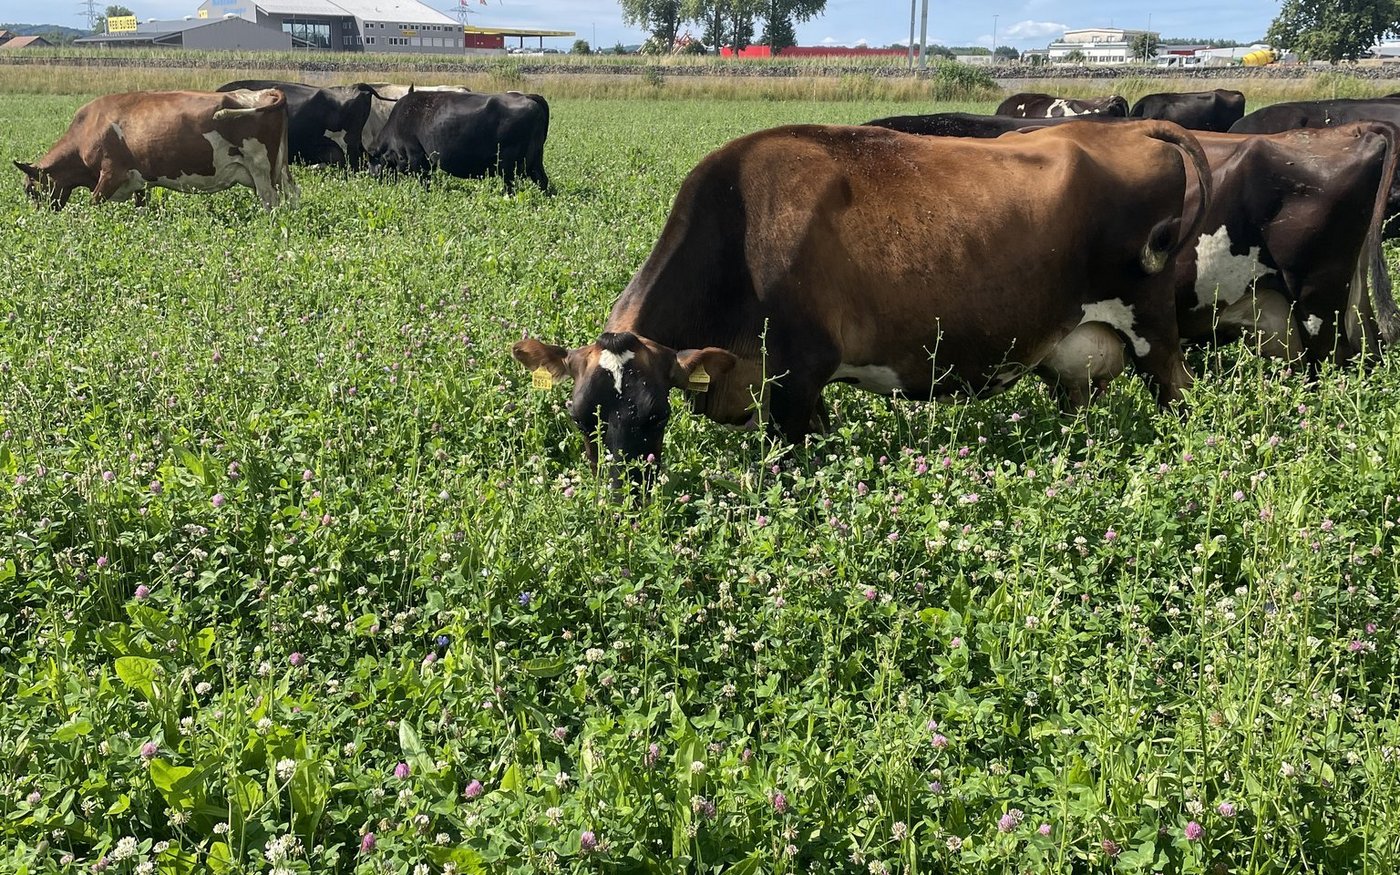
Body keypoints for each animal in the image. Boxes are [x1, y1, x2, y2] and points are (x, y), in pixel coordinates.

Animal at [13, 89, 296, 210]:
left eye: (30, 189)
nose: (43, 217)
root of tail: (266, 91)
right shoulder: (138, 180)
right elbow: (141, 207)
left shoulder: (110, 173)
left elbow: (93, 204)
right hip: (280, 169)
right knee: (293, 195)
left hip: (261, 170)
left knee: (271, 202)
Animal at [370, 89, 550, 192]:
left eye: (372, 170)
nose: (377, 186)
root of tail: (527, 96)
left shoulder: (417, 157)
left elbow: (425, 182)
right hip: (535, 159)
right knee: (542, 181)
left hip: (509, 164)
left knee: (510, 187)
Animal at [513, 121, 1211, 484]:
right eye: (577, 419)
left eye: (655, 416)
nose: (623, 503)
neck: (741, 226)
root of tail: (1129, 124)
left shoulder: (796, 380)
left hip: (1153, 327)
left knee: (1180, 397)